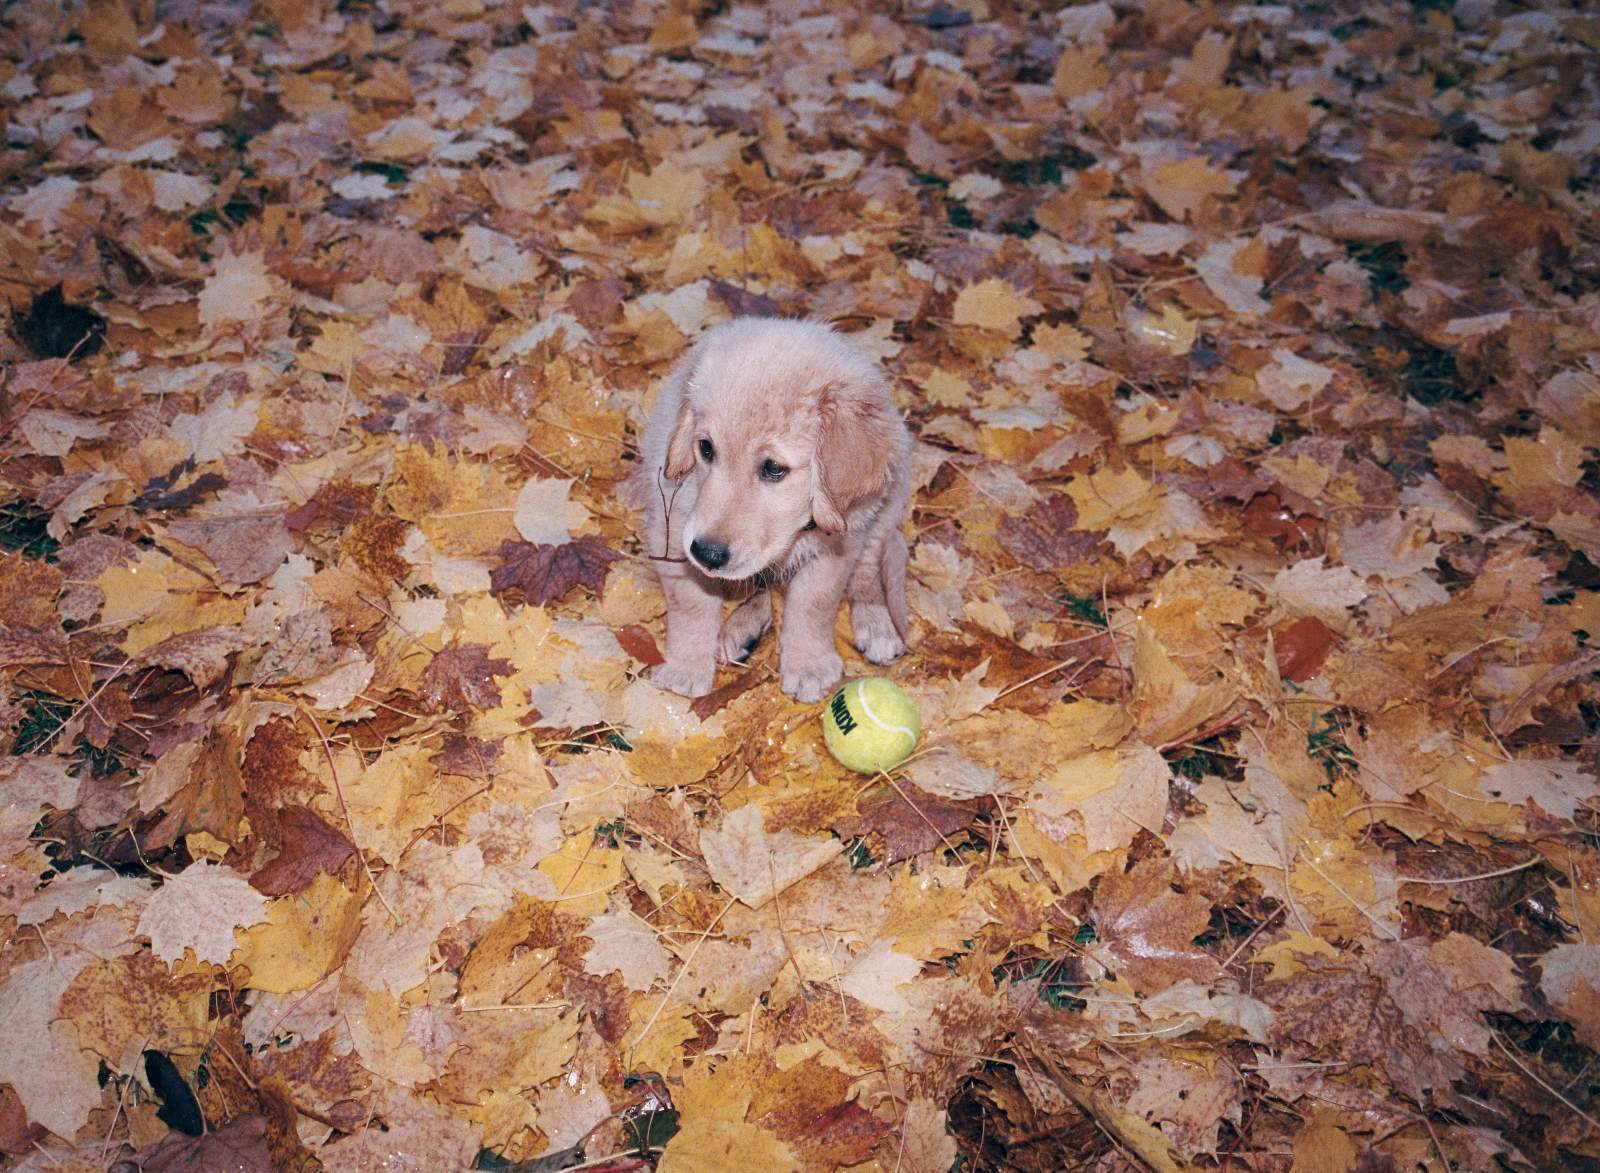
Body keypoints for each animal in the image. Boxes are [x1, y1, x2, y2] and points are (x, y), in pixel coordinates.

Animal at [633, 318, 915, 704]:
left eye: (774, 469)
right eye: (705, 448)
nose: (707, 554)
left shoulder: (840, 544)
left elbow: (816, 602)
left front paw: (809, 664)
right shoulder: (674, 529)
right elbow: (690, 602)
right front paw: (685, 666)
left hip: (887, 502)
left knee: (867, 570)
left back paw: (876, 623)